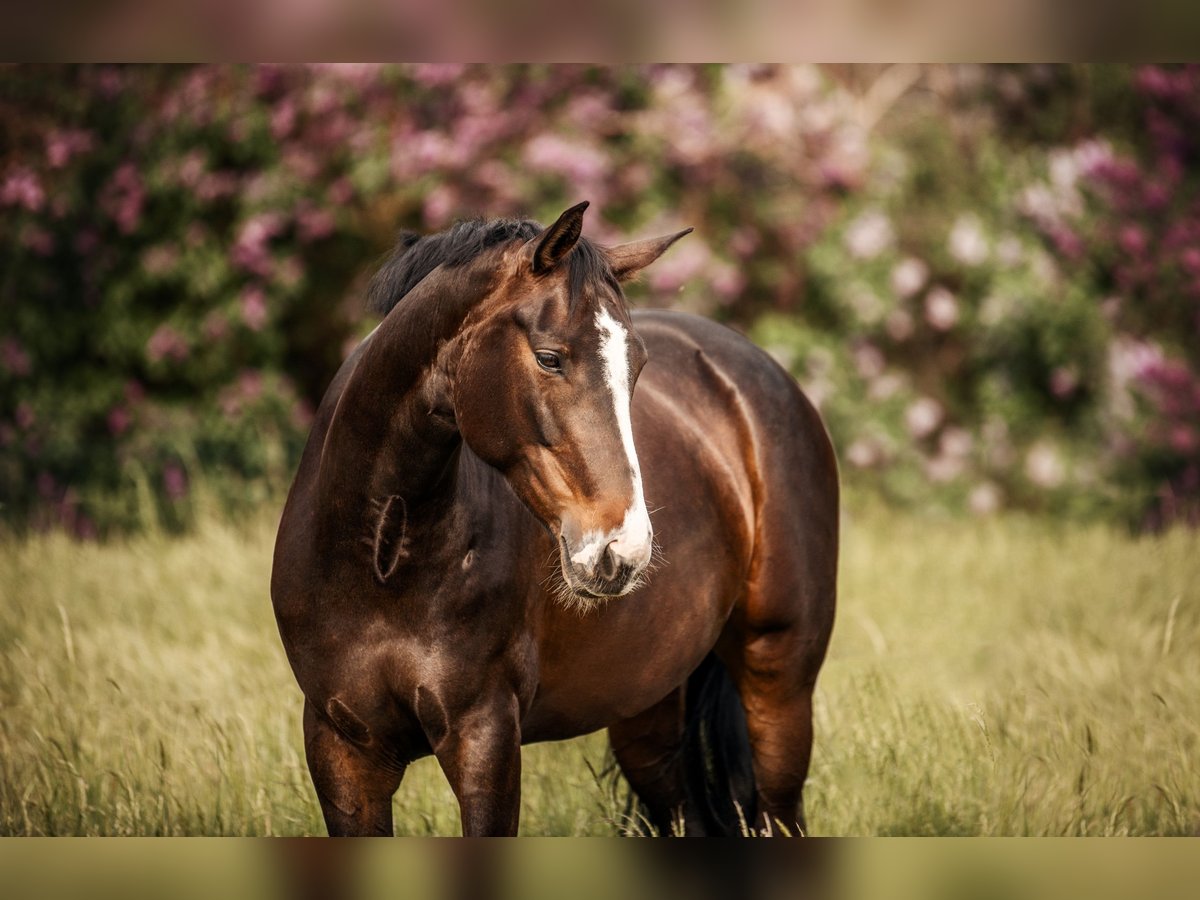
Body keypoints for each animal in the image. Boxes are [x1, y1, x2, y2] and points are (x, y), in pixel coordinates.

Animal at [270, 204, 835, 840]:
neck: (381, 562)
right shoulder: (341, 749)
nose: (623, 550)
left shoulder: (485, 737)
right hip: (648, 714)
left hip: (779, 685)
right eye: (548, 358)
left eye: (637, 366)